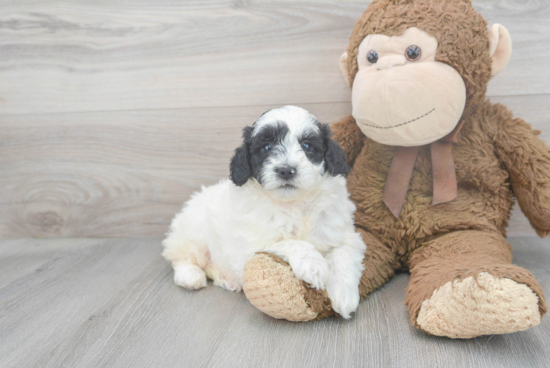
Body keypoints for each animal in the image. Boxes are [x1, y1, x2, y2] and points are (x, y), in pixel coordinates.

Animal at [162, 105, 368, 318]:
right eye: (267, 147)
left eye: (307, 146)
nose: (286, 170)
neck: (293, 204)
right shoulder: (254, 243)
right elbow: (290, 242)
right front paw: (313, 265)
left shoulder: (343, 233)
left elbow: (344, 253)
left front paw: (344, 297)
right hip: (193, 232)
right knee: (182, 257)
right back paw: (190, 276)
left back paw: (226, 278)